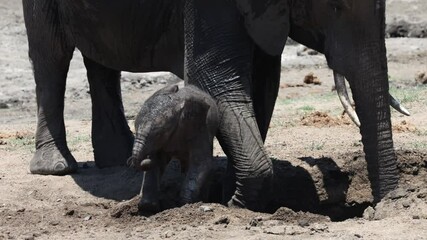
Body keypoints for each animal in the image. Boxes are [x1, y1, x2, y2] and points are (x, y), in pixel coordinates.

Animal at [129, 84, 219, 212]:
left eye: (159, 134)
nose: (145, 160)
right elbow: (157, 162)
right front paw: (148, 207)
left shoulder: (200, 128)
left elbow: (201, 163)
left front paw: (184, 204)